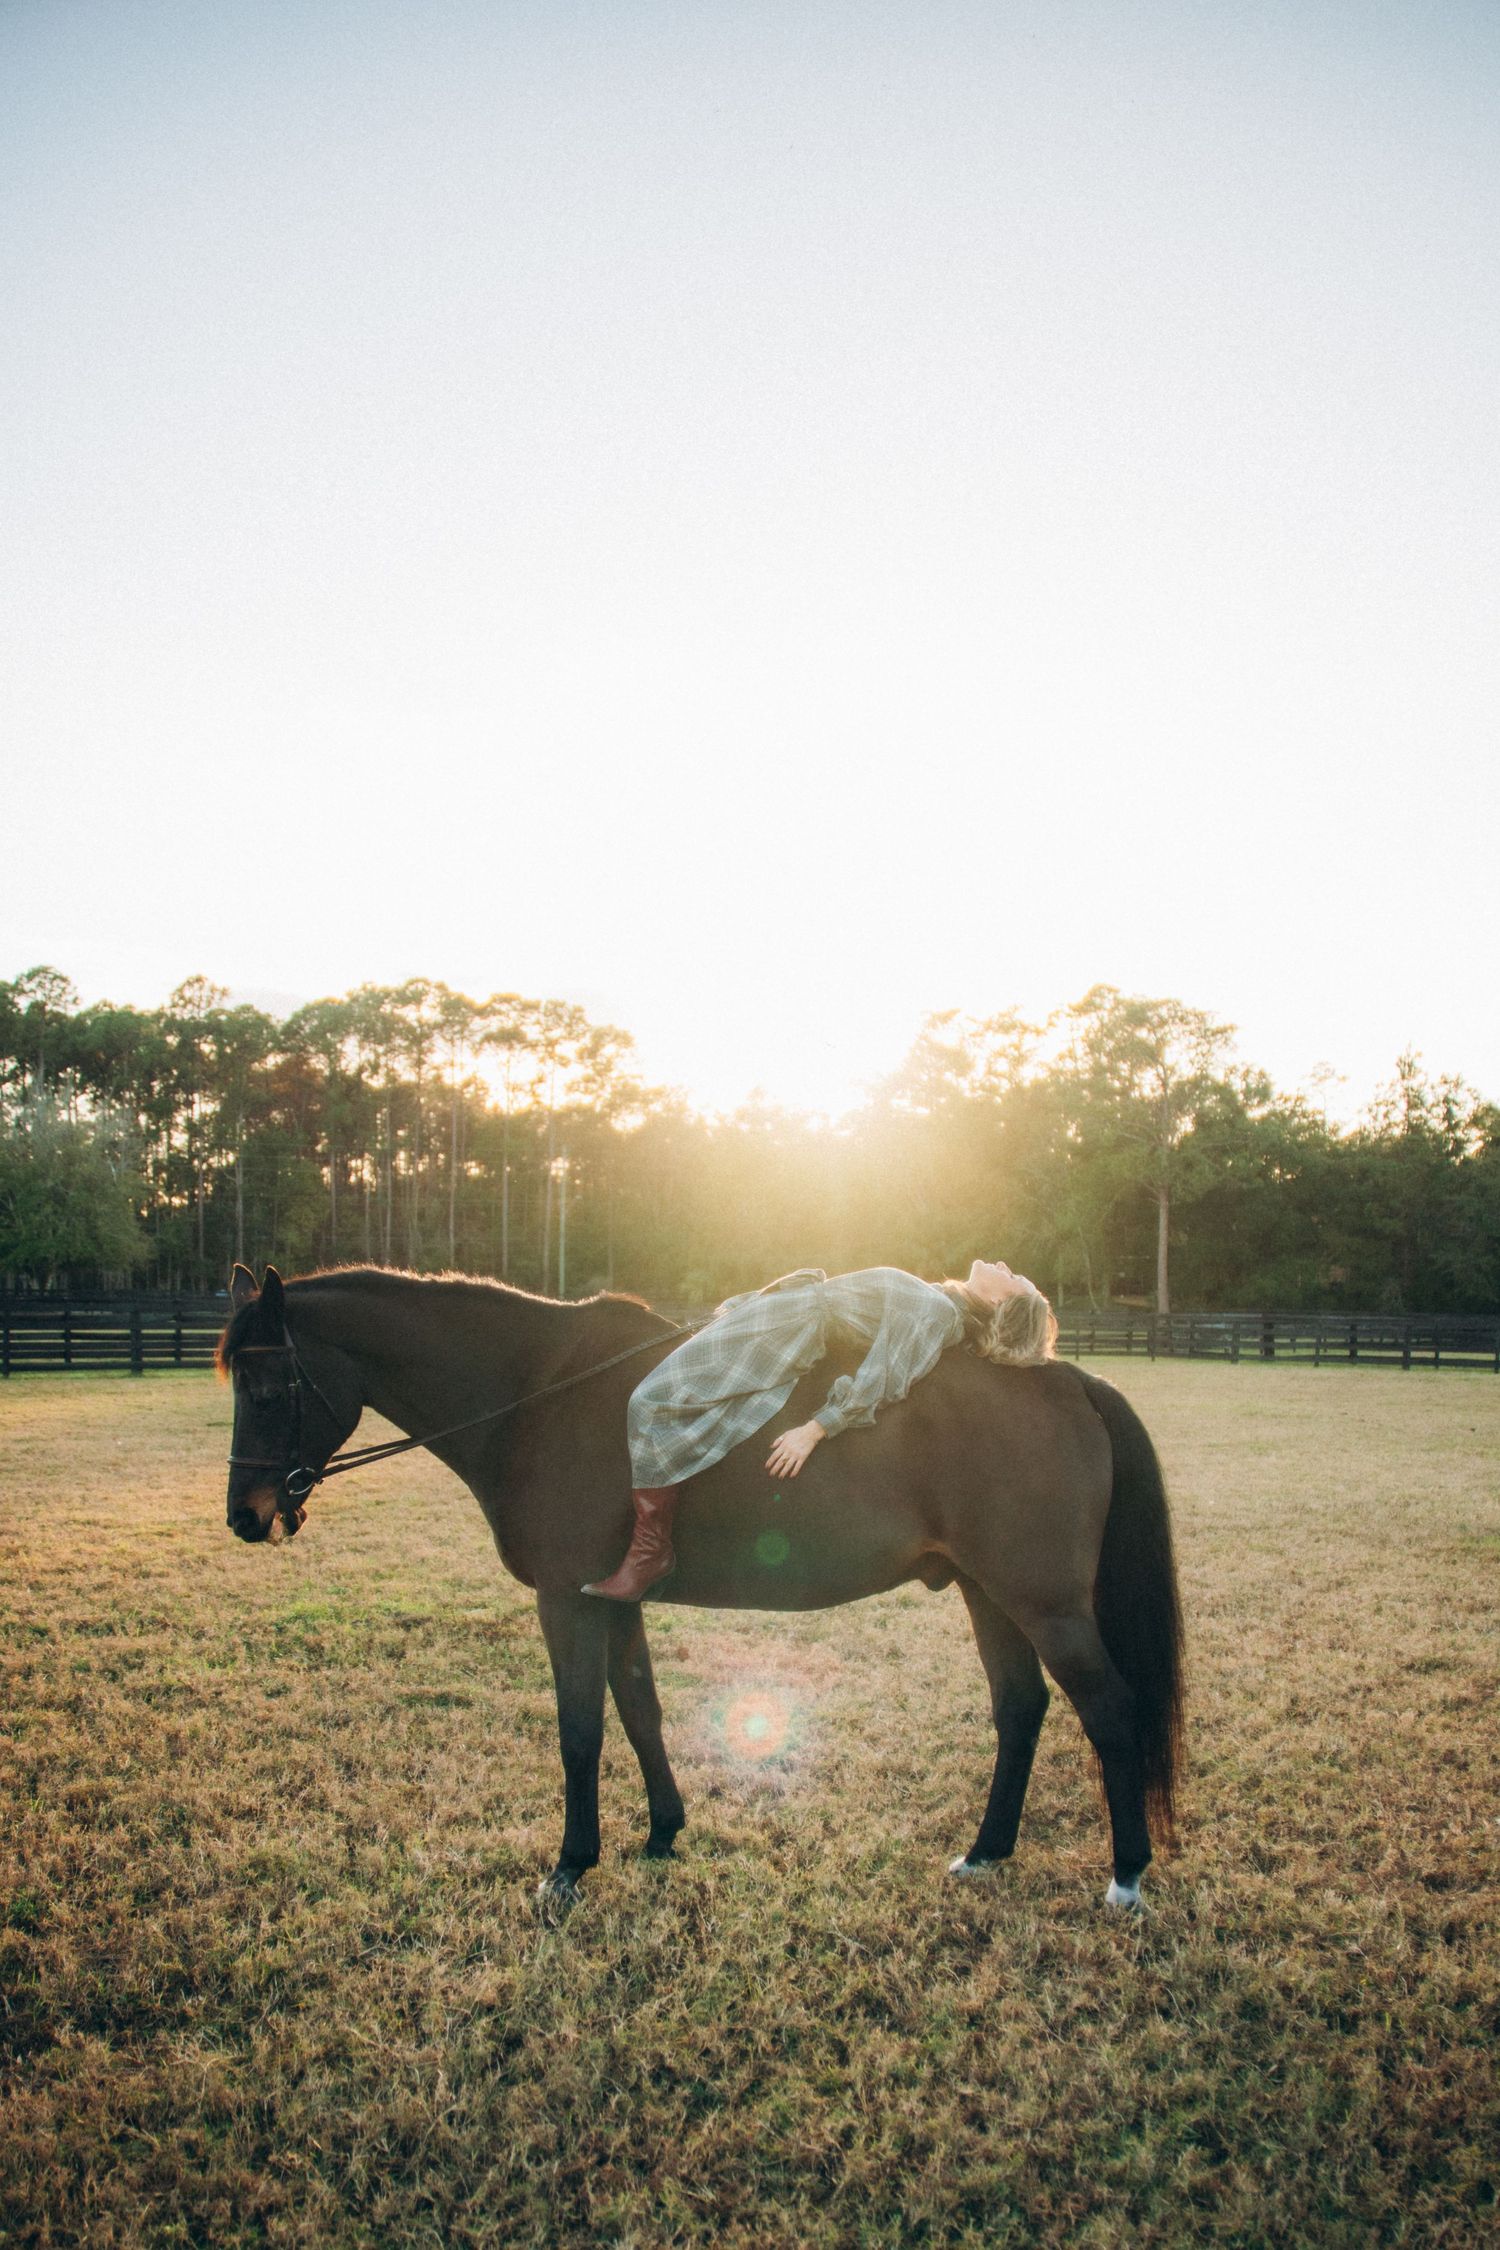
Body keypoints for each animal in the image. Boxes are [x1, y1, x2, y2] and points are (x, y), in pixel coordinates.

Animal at [218, 1262, 1184, 1909]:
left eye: (267, 1386)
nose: (246, 1516)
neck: (537, 1394)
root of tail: (1072, 1378)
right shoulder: (612, 1599)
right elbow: (639, 1711)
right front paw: (660, 1834)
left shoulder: (566, 1601)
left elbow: (580, 1733)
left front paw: (569, 1868)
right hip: (991, 1595)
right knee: (1020, 1708)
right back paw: (986, 1853)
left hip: (1045, 1604)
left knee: (1110, 1710)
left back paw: (1126, 1877)